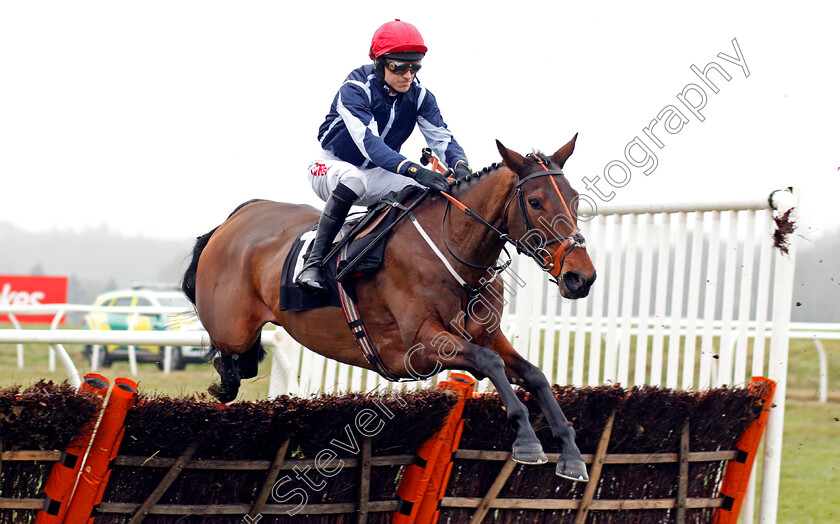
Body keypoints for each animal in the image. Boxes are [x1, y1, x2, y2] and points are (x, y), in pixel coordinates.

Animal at [182, 134, 596, 478]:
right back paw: (225, 381)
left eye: (575, 198)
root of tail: (238, 216)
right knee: (229, 359)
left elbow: (533, 374)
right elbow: (489, 363)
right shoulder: (421, 345)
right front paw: (526, 440)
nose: (581, 277)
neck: (453, 249)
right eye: (535, 201)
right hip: (232, 327)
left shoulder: (487, 335)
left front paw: (571, 455)